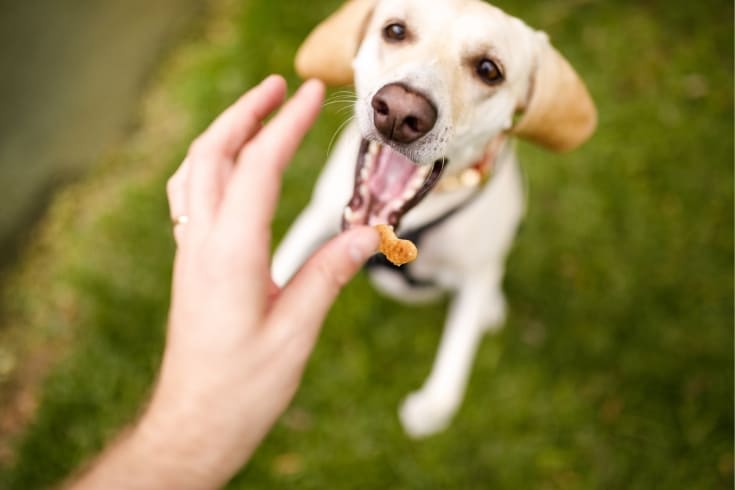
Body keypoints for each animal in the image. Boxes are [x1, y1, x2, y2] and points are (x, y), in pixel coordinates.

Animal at [274, 0, 596, 436]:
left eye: (489, 69)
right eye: (395, 30)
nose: (399, 112)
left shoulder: (476, 274)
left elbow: (452, 373)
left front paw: (429, 409)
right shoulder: (316, 217)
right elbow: (277, 267)